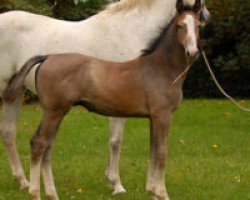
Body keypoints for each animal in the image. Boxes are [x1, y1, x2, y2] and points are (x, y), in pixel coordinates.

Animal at [0, 0, 210, 197]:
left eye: (197, 25)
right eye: (180, 25)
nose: (193, 52)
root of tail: (47, 57)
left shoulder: (150, 115)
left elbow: (149, 149)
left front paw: (145, 189)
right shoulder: (154, 114)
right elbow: (134, 146)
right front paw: (122, 185)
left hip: (28, 99)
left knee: (20, 137)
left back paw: (30, 184)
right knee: (36, 142)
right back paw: (33, 189)